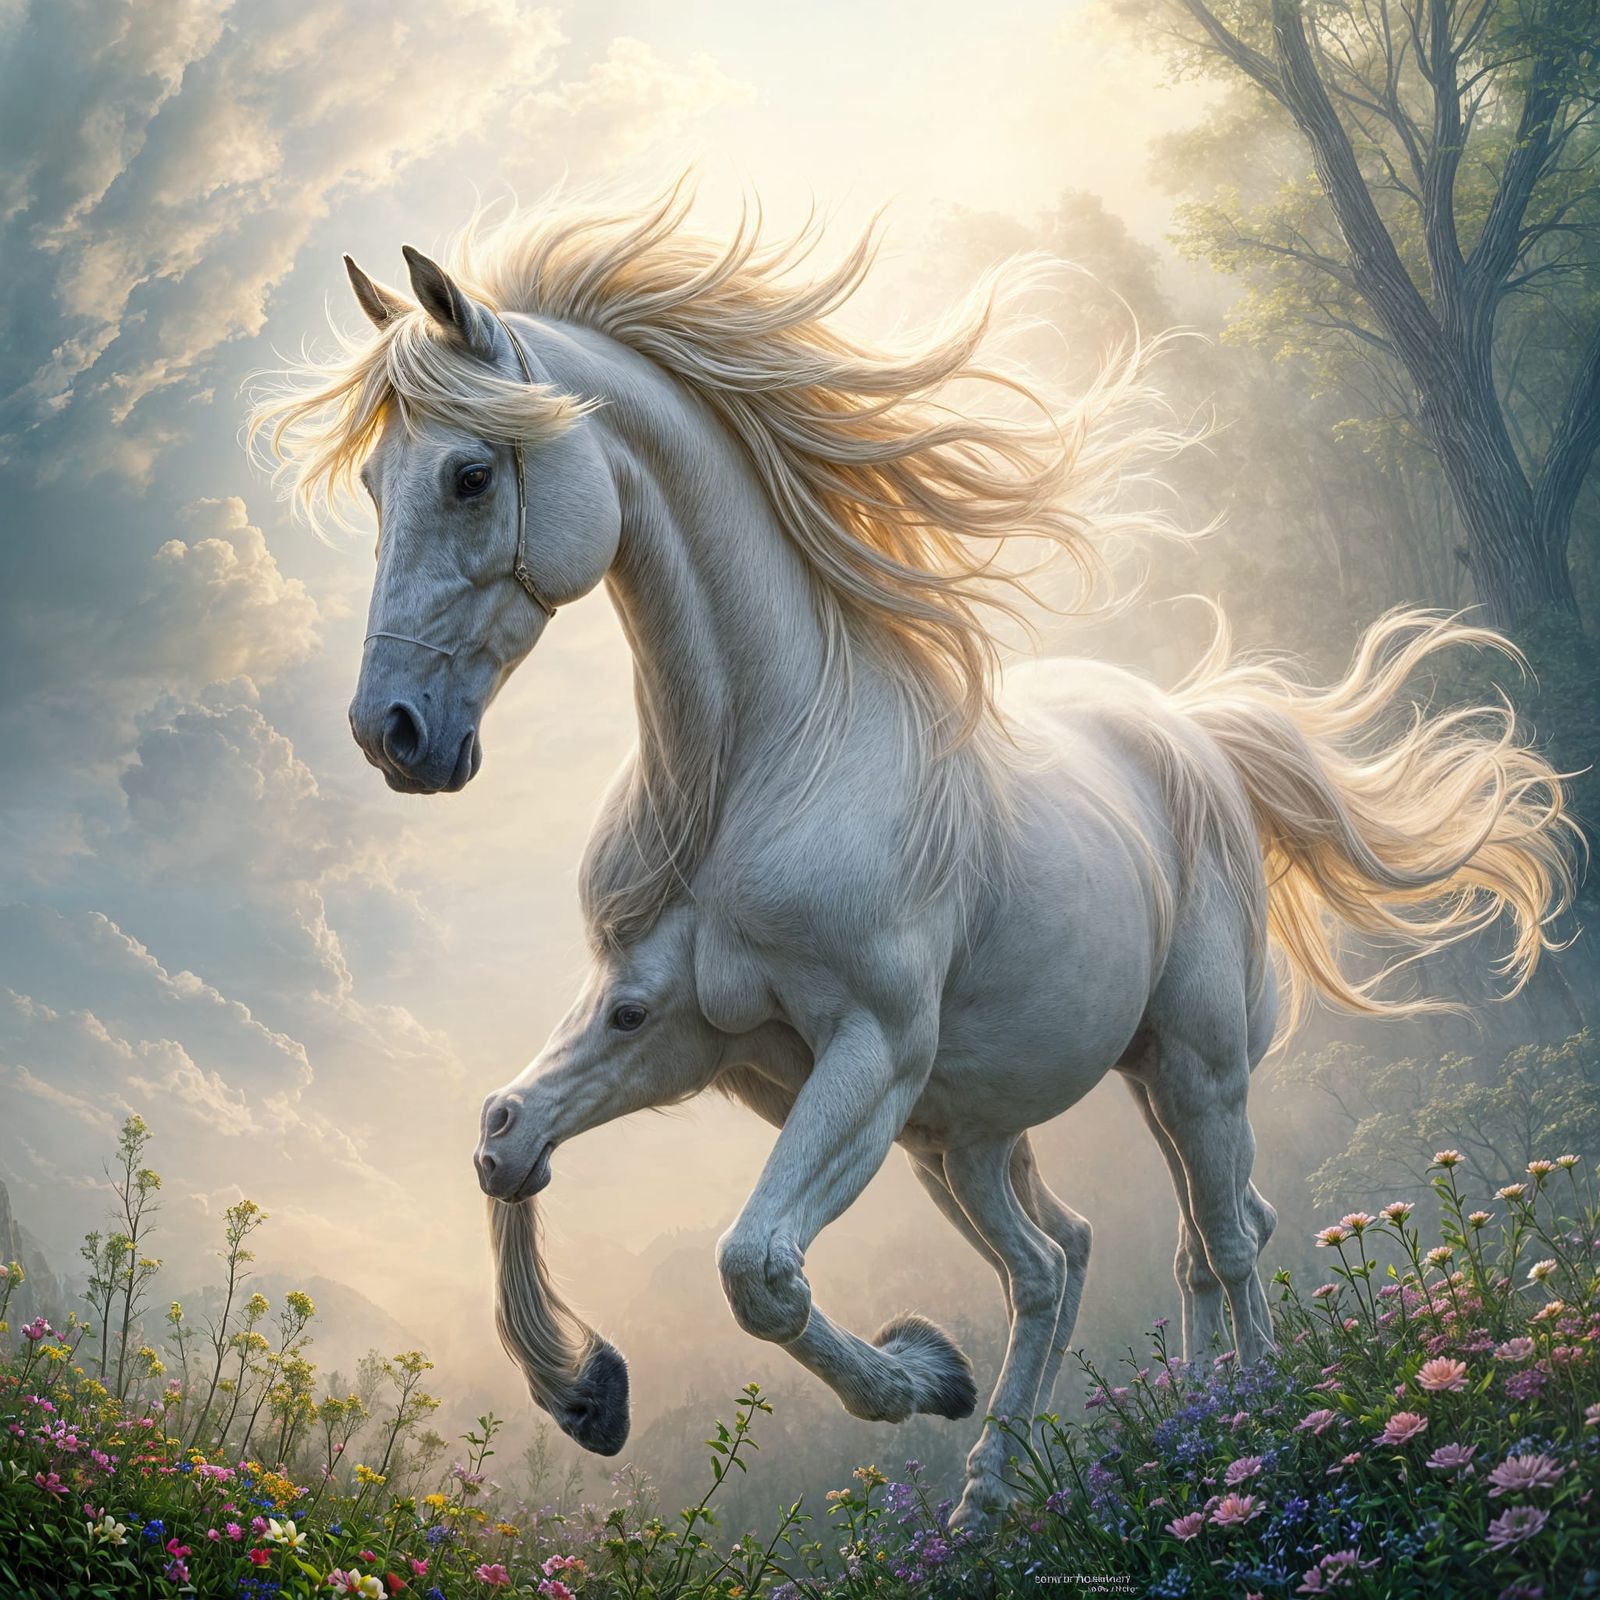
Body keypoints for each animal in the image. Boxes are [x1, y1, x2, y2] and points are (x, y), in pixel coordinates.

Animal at [251, 185, 1575, 1531]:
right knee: (1077, 1254)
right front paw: (590, 1392)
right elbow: (509, 1136)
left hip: (1190, 1065)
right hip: (981, 1127)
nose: (392, 733)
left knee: (1222, 1232)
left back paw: (1240, 1430)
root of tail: (1192, 732)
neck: (762, 761)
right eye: (375, 485)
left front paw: (913, 1375)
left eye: (470, 474)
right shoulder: (666, 1026)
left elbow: (757, 1268)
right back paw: (1029, 1478)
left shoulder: (870, 1049)